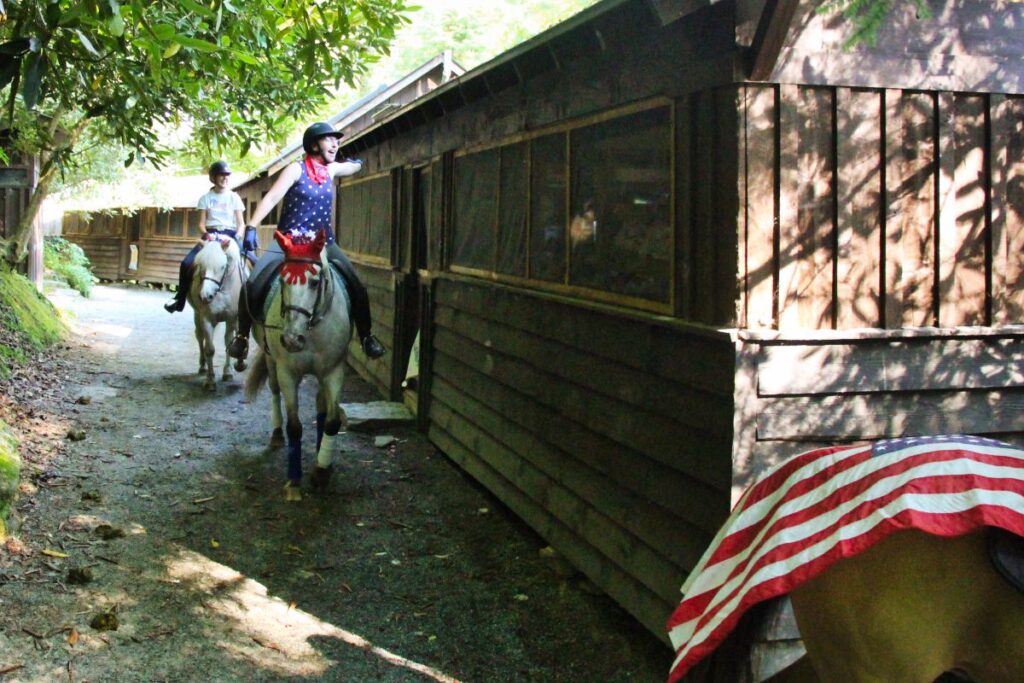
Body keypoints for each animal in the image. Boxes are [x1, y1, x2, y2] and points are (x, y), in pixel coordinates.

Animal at [186, 233, 247, 389]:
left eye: (222, 266)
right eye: (200, 266)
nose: (205, 296)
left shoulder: (232, 318)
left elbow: (229, 342)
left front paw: (228, 372)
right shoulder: (206, 318)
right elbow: (209, 349)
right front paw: (210, 380)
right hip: (197, 315)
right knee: (199, 336)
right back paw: (202, 367)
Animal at [243, 229, 352, 501]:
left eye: (314, 282)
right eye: (282, 280)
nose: (292, 339)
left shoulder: (334, 370)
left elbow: (332, 421)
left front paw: (322, 472)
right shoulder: (288, 372)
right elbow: (294, 426)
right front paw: (294, 482)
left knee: (321, 404)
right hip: (272, 361)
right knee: (274, 392)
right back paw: (276, 435)